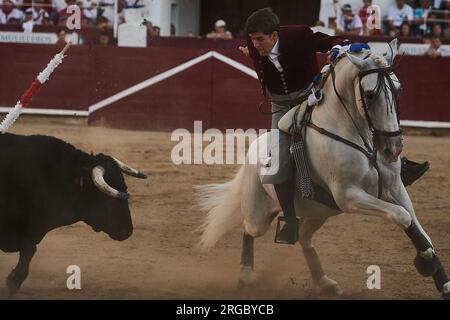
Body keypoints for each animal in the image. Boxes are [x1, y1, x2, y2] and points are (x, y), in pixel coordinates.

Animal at [0, 132, 146, 292]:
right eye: (108, 198)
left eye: (125, 187)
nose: (128, 231)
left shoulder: (29, 233)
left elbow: (29, 251)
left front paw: (13, 281)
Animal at [198, 39, 450, 298]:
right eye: (370, 94)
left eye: (398, 89)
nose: (393, 148)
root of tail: (252, 151)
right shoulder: (349, 196)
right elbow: (402, 216)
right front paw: (426, 263)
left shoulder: (395, 188)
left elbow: (416, 225)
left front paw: (441, 279)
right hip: (259, 212)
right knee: (249, 230)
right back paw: (246, 276)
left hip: (320, 211)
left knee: (304, 238)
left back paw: (324, 281)